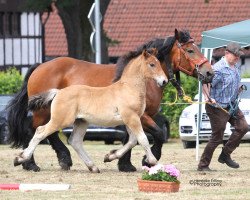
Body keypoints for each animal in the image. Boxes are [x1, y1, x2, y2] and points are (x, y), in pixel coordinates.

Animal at [14, 49, 168, 172]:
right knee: (40, 131)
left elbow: (132, 141)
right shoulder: (132, 118)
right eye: (152, 64)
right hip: (59, 120)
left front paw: (110, 156)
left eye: (160, 63)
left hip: (81, 122)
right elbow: (142, 139)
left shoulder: (132, 120)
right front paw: (152, 161)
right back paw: (23, 160)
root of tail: (58, 92)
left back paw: (92, 166)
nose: (164, 81)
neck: (128, 88)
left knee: (75, 141)